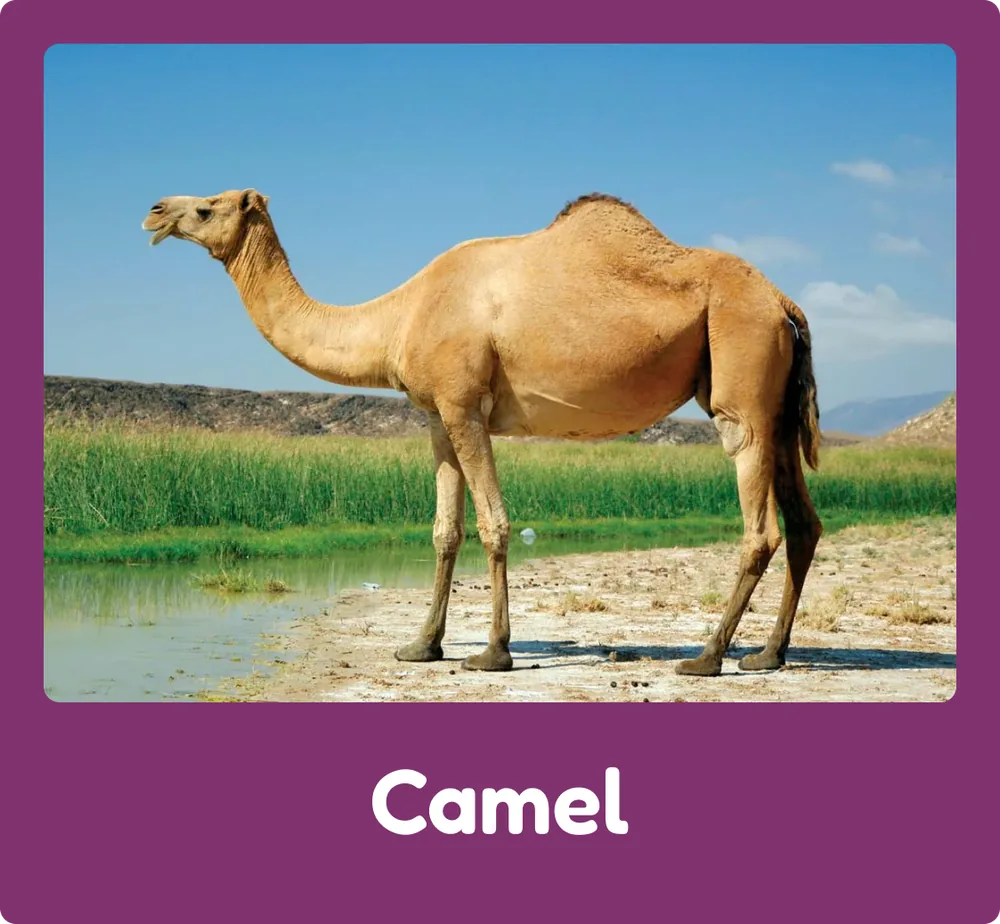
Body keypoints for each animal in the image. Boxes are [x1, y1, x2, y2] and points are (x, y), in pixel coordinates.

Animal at [142, 189, 823, 677]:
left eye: (206, 206)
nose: (154, 210)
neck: (399, 316)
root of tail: (784, 301)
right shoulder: (436, 415)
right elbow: (445, 531)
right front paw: (422, 645)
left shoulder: (465, 404)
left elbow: (495, 523)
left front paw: (493, 651)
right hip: (777, 402)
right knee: (803, 522)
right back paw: (769, 654)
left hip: (742, 370)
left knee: (759, 523)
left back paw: (707, 658)